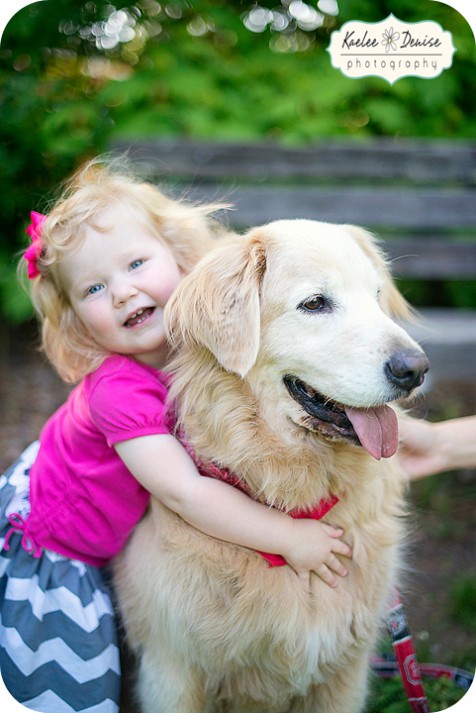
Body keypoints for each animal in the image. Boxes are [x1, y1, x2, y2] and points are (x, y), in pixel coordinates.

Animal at [113, 221, 430, 712]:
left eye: (377, 295)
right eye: (315, 303)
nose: (416, 369)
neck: (290, 497)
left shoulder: (346, 673)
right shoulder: (172, 671)